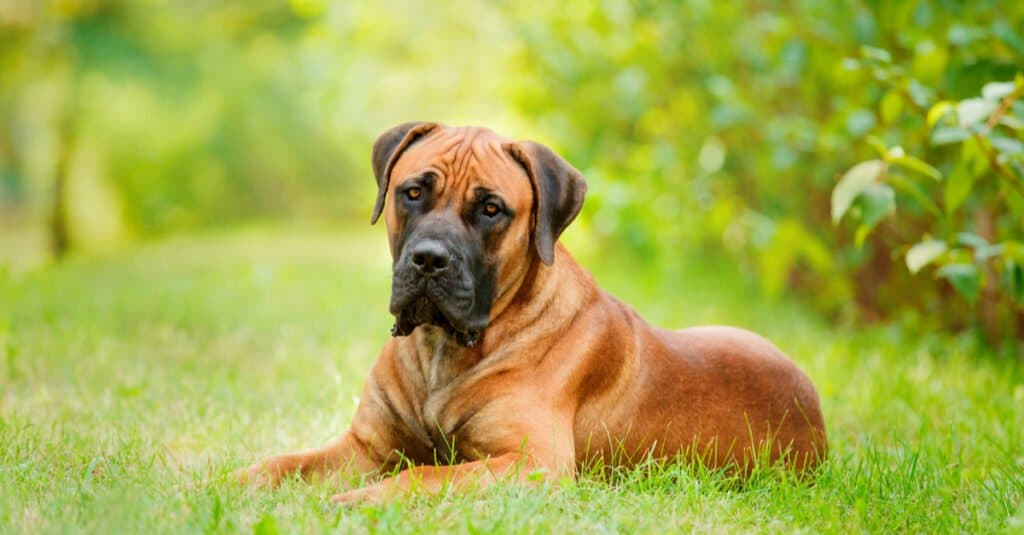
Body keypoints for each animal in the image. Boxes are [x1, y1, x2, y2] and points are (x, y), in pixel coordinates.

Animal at [235, 122, 827, 502]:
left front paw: (353, 503)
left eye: (491, 209)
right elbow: (280, 464)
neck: (441, 348)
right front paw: (222, 484)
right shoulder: (365, 447)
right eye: (412, 193)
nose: (428, 260)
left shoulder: (532, 461)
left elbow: (421, 477)